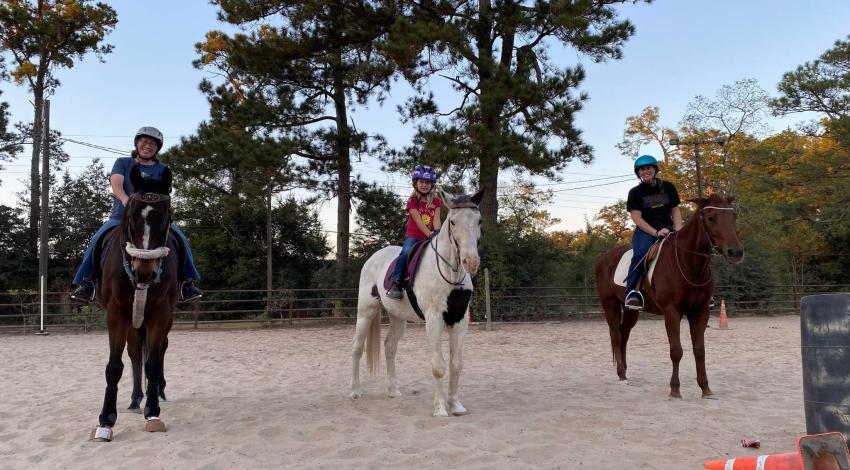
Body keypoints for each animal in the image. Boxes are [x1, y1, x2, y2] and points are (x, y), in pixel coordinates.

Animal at [91, 165, 179, 440]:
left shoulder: (161, 315)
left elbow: (153, 364)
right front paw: (106, 421)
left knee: (159, 351)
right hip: (132, 322)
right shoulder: (116, 316)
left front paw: (153, 412)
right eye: (131, 214)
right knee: (134, 354)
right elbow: (114, 367)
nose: (144, 272)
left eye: (166, 216)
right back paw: (134, 399)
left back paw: (156, 392)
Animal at [350, 189, 480, 416]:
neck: (450, 274)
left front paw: (456, 405)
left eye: (478, 221)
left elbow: (456, 364)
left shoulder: (460, 320)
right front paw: (440, 409)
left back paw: (393, 391)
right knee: (357, 348)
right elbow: (438, 366)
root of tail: (374, 257)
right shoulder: (434, 320)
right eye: (453, 222)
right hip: (366, 311)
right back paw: (355, 391)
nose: (470, 262)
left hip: (398, 317)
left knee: (390, 347)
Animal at [592, 196, 740, 400]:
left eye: (734, 216)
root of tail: (604, 259)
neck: (688, 263)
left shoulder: (700, 312)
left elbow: (699, 350)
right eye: (711, 218)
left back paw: (625, 374)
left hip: (631, 310)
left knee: (624, 334)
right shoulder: (672, 312)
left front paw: (705, 388)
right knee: (615, 335)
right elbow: (676, 351)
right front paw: (675, 389)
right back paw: (621, 373)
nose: (736, 252)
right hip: (610, 304)